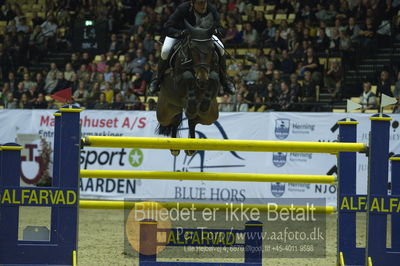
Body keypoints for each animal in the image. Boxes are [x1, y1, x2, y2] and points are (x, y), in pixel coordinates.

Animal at [156, 17, 220, 156]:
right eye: (193, 48)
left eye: (211, 49)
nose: (202, 78)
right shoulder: (177, 81)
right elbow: (187, 76)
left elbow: (214, 77)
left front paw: (203, 104)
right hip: (164, 112)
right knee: (174, 120)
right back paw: (175, 147)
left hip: (211, 116)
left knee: (193, 120)